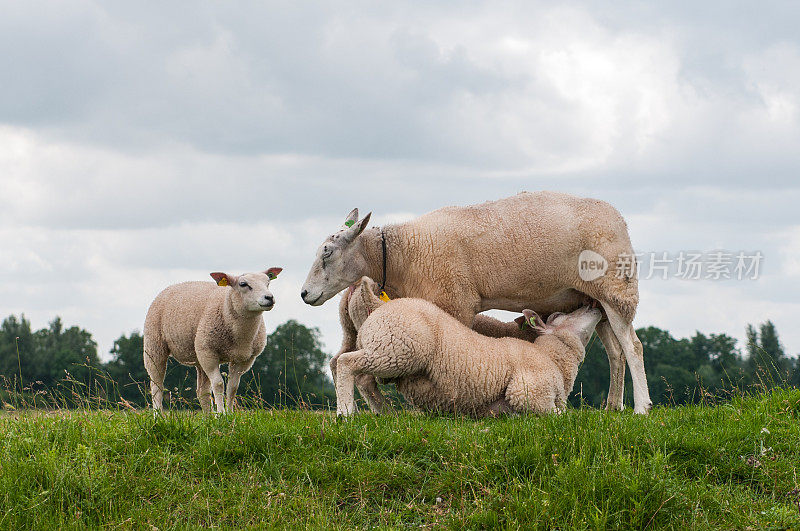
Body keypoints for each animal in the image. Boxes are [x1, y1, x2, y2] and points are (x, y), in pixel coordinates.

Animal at [144, 268, 282, 414]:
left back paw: (208, 416)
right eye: (243, 284)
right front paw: (221, 413)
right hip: (154, 346)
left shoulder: (245, 359)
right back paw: (158, 415)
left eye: (268, 282)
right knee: (156, 385)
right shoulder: (209, 353)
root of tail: (172, 286)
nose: (269, 298)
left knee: (202, 391)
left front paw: (230, 413)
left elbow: (233, 386)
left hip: (199, 355)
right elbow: (219, 383)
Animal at [332, 276, 600, 418]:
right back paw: (345, 414)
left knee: (359, 375)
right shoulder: (529, 393)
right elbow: (564, 416)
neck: (552, 359)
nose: (593, 305)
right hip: (397, 350)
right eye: (558, 316)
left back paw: (388, 414)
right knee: (348, 364)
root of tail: (379, 304)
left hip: (386, 349)